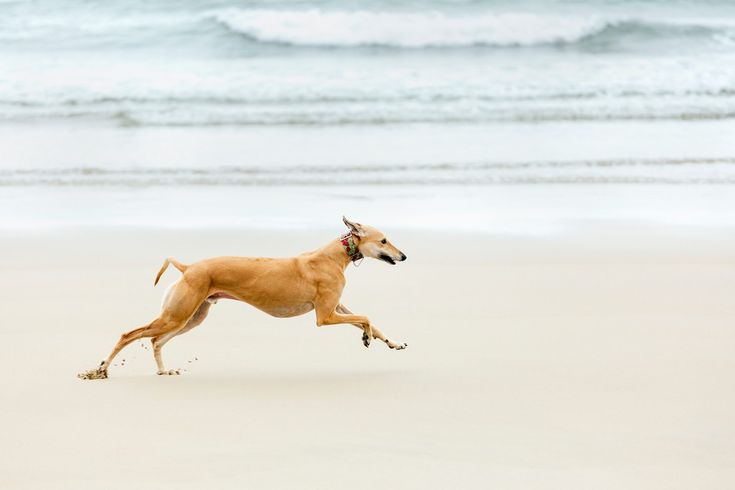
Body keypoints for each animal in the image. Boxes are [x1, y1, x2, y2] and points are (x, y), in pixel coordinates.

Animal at [80, 217, 408, 378]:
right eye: (384, 240)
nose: (404, 256)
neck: (333, 255)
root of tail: (188, 267)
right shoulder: (324, 316)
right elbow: (366, 318)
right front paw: (366, 337)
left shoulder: (336, 306)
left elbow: (370, 321)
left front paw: (391, 342)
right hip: (178, 314)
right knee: (130, 334)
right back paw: (101, 369)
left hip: (191, 317)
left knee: (156, 341)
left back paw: (162, 371)